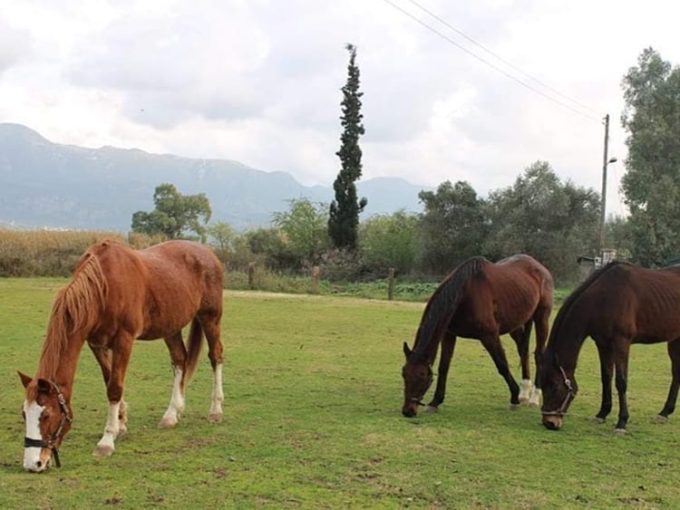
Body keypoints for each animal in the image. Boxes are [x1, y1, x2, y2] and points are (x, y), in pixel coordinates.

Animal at [18, 241, 224, 472]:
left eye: (46, 415)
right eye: (24, 414)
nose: (33, 463)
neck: (104, 286)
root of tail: (207, 252)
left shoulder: (123, 340)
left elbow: (115, 388)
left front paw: (106, 441)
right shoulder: (96, 344)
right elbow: (109, 379)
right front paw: (121, 423)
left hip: (210, 317)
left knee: (215, 356)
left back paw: (216, 410)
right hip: (171, 326)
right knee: (180, 359)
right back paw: (171, 415)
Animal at [404, 255, 552, 418]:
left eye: (422, 376)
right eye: (404, 374)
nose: (408, 411)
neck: (464, 294)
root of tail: (539, 267)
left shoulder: (489, 336)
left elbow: (502, 366)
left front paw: (514, 398)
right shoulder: (449, 335)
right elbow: (443, 367)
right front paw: (435, 402)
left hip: (542, 317)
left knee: (539, 354)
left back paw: (534, 397)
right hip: (516, 325)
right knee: (523, 351)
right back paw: (524, 394)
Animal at [540, 260, 680, 432]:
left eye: (554, 386)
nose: (549, 422)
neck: (604, 298)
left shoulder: (621, 343)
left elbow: (621, 381)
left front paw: (622, 422)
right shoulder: (603, 344)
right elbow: (606, 376)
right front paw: (602, 413)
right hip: (675, 340)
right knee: (676, 373)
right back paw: (665, 412)